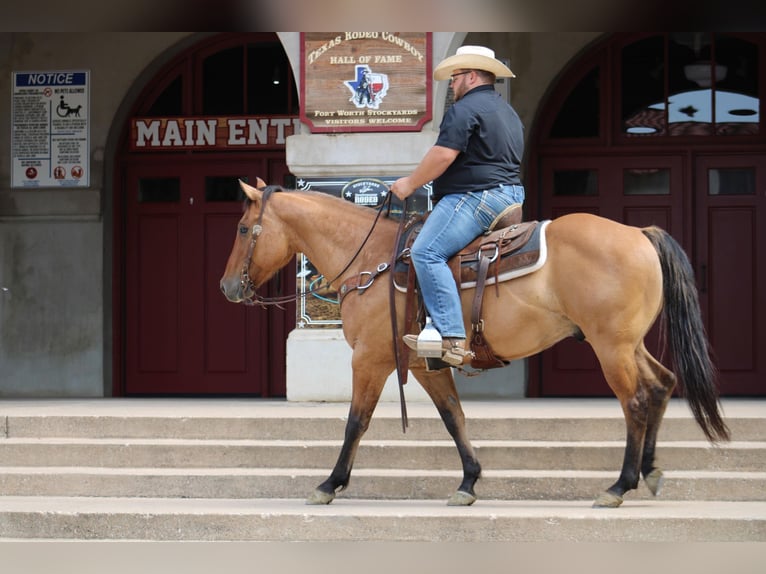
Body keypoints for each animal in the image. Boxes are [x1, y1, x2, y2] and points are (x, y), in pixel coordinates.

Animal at [219, 179, 728, 508]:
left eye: (243, 229)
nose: (227, 288)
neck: (372, 260)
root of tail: (639, 233)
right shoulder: (424, 365)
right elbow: (453, 418)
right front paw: (469, 481)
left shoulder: (370, 360)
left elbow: (355, 423)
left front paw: (330, 483)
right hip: (627, 344)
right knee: (661, 385)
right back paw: (650, 471)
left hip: (610, 347)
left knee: (636, 401)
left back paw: (619, 486)